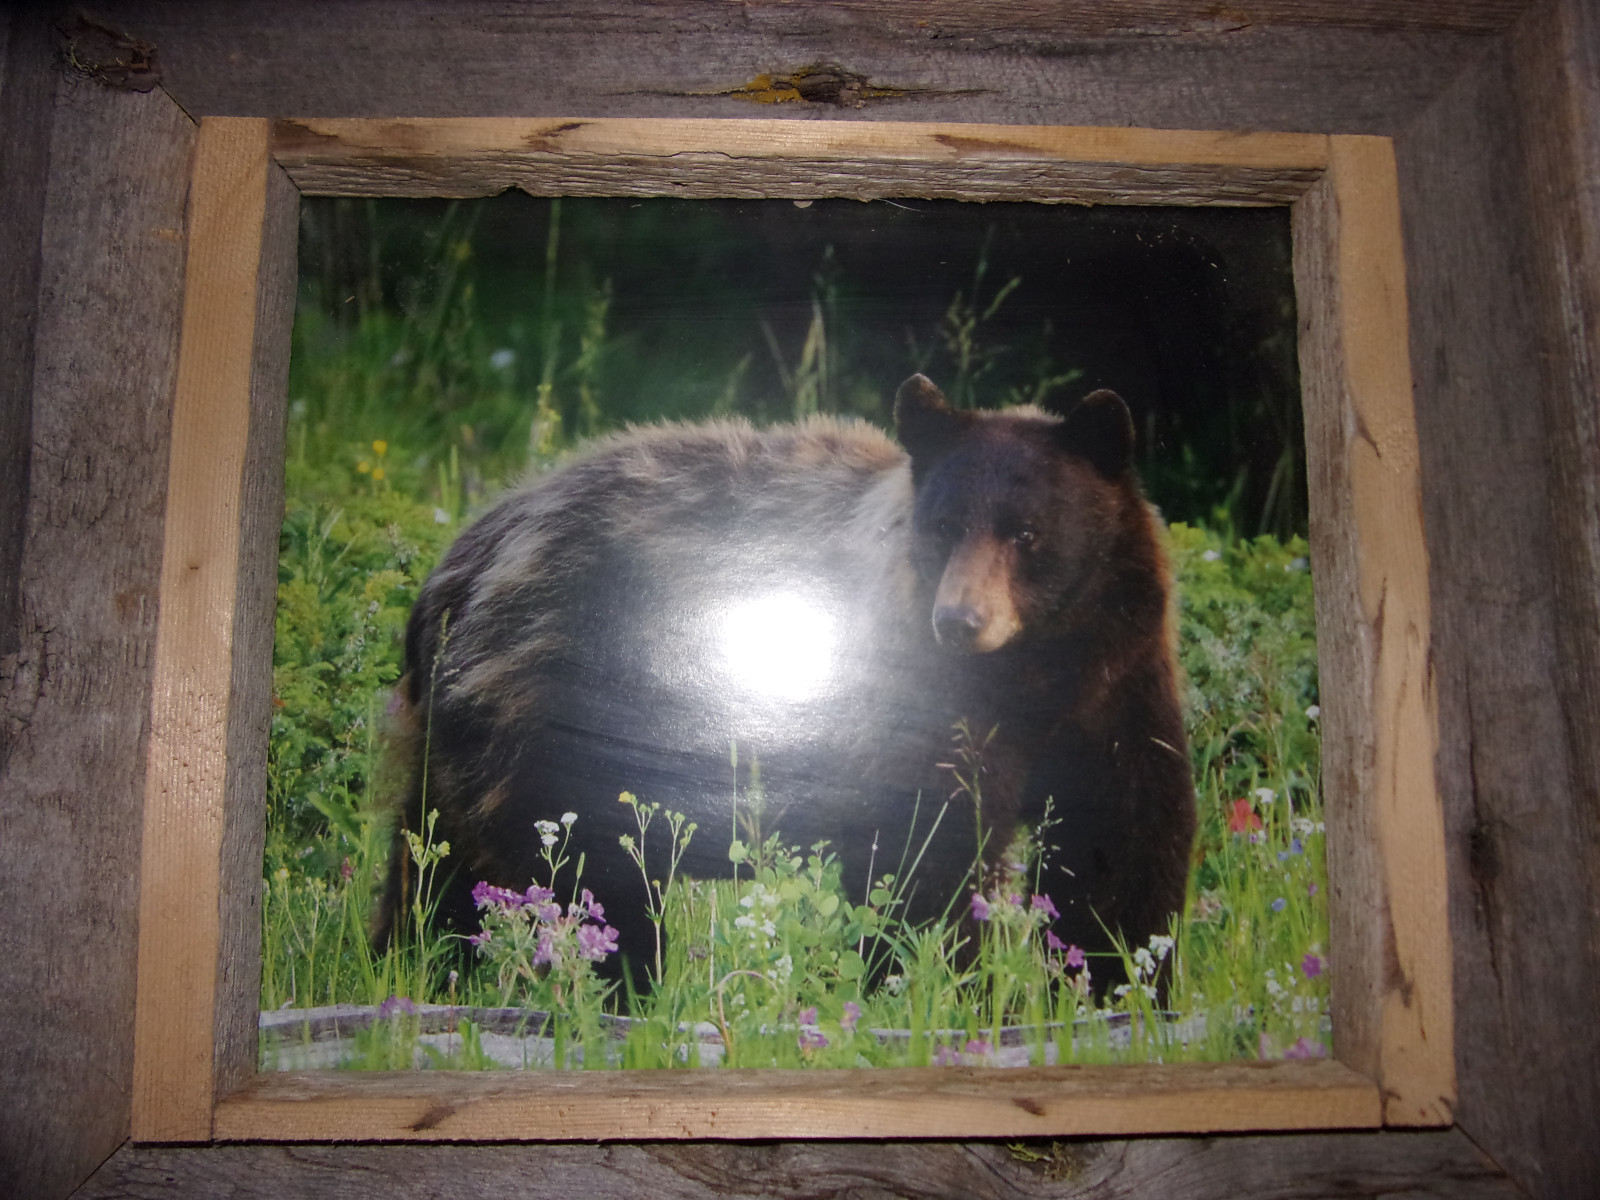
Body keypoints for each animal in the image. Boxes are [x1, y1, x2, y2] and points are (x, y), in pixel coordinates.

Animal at [376, 374, 1196, 993]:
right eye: (944, 526)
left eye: (1027, 533)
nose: (959, 620)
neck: (1033, 675)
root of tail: (456, 568)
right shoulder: (921, 707)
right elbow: (928, 848)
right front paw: (938, 981)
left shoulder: (1117, 687)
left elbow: (1122, 843)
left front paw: (1116, 981)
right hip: (552, 719)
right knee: (580, 874)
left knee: (434, 863)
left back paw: (416, 964)